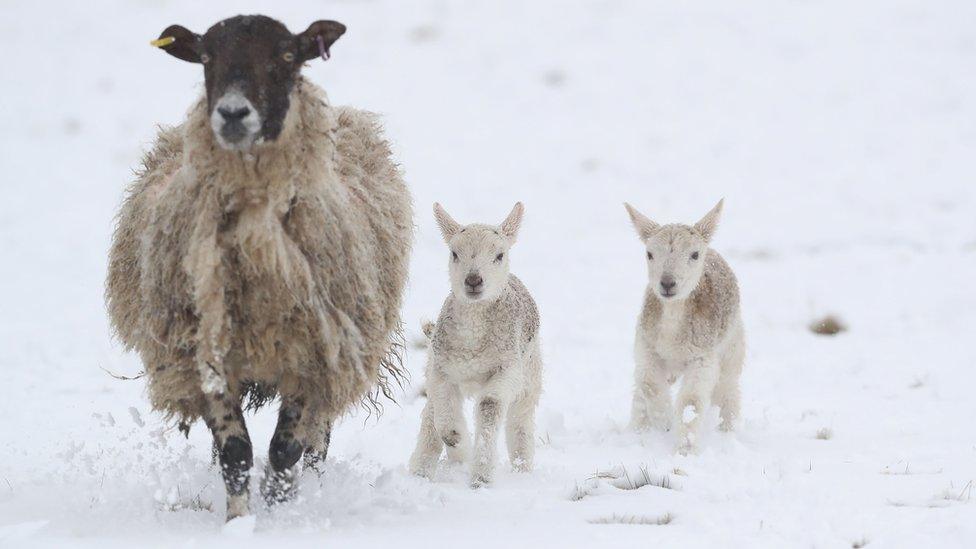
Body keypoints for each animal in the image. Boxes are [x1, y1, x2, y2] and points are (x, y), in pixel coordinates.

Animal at [106, 13, 412, 520]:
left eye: (286, 55)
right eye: (206, 57)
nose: (232, 113)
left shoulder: (312, 352)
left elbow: (286, 450)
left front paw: (279, 511)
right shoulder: (205, 351)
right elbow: (236, 452)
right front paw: (239, 520)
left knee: (316, 440)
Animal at [404, 203, 540, 486]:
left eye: (499, 255)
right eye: (454, 253)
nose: (474, 280)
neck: (472, 340)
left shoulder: (508, 369)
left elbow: (489, 406)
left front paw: (481, 476)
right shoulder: (441, 369)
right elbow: (443, 415)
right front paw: (458, 444)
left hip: (530, 374)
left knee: (519, 420)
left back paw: (522, 469)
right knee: (430, 417)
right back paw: (422, 472)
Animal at [624, 198, 748, 454]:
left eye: (694, 254)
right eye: (649, 253)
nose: (667, 283)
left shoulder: (702, 358)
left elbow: (691, 402)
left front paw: (685, 449)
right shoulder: (646, 347)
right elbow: (649, 386)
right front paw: (662, 422)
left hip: (732, 347)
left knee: (728, 390)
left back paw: (727, 432)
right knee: (640, 392)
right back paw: (637, 431)